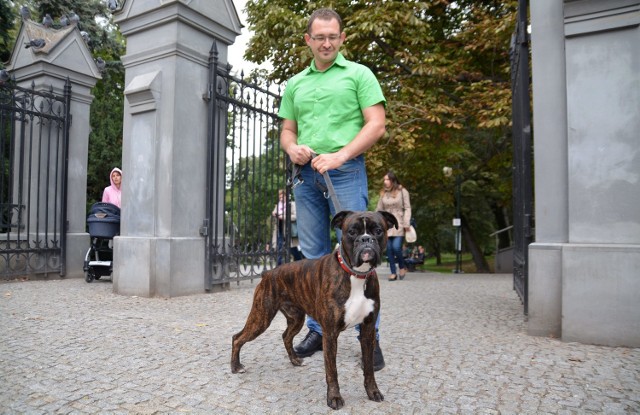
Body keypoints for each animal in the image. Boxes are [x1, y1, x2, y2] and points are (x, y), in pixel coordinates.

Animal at [230, 210, 400, 412]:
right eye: (352, 232)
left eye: (378, 231)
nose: (366, 239)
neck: (355, 275)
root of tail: (268, 273)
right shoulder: (330, 334)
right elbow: (332, 371)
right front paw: (334, 398)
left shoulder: (367, 331)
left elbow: (368, 368)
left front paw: (373, 392)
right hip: (261, 318)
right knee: (237, 337)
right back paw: (236, 367)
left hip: (296, 319)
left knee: (285, 336)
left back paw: (295, 360)